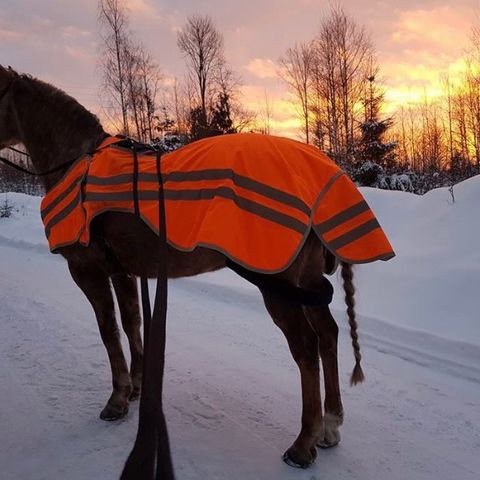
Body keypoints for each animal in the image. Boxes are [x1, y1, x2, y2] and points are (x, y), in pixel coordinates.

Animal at [0, 65, 382, 470]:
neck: (78, 162)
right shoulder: (122, 269)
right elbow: (132, 323)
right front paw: (137, 386)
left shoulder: (87, 270)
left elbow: (109, 332)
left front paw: (117, 399)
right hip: (304, 278)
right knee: (328, 335)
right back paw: (330, 424)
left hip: (276, 284)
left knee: (306, 348)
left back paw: (303, 442)